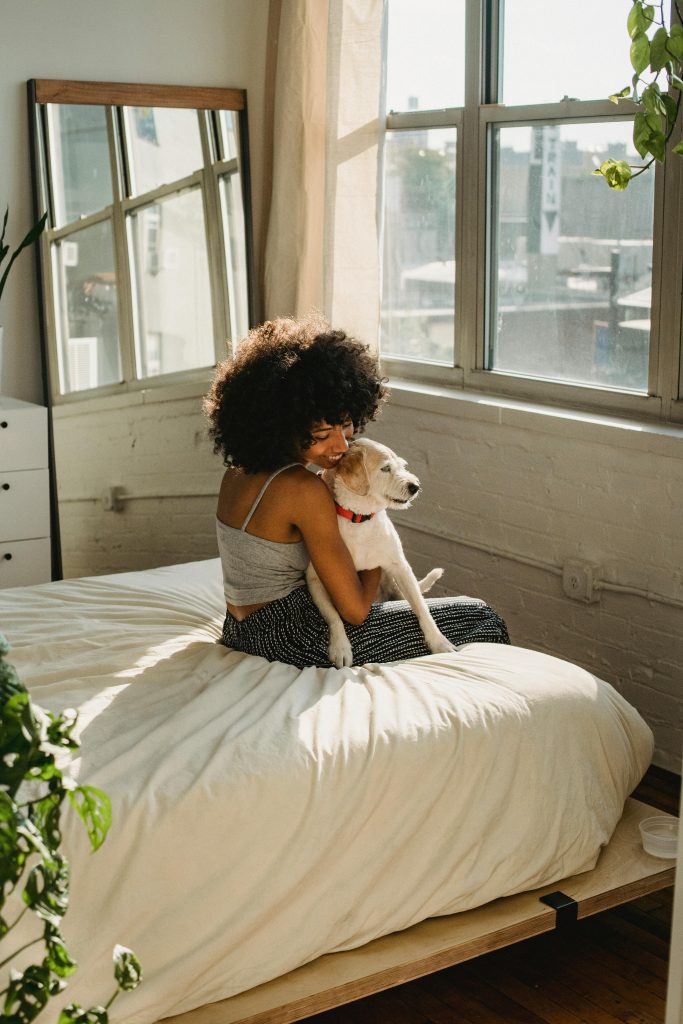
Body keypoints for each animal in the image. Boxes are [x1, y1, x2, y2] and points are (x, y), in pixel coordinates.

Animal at [307, 436, 456, 667]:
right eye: (385, 468)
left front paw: (438, 641)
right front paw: (340, 647)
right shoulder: (314, 579)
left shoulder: (401, 568)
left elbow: (422, 607)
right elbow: (333, 616)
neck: (360, 518)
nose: (415, 486)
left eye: (402, 466)